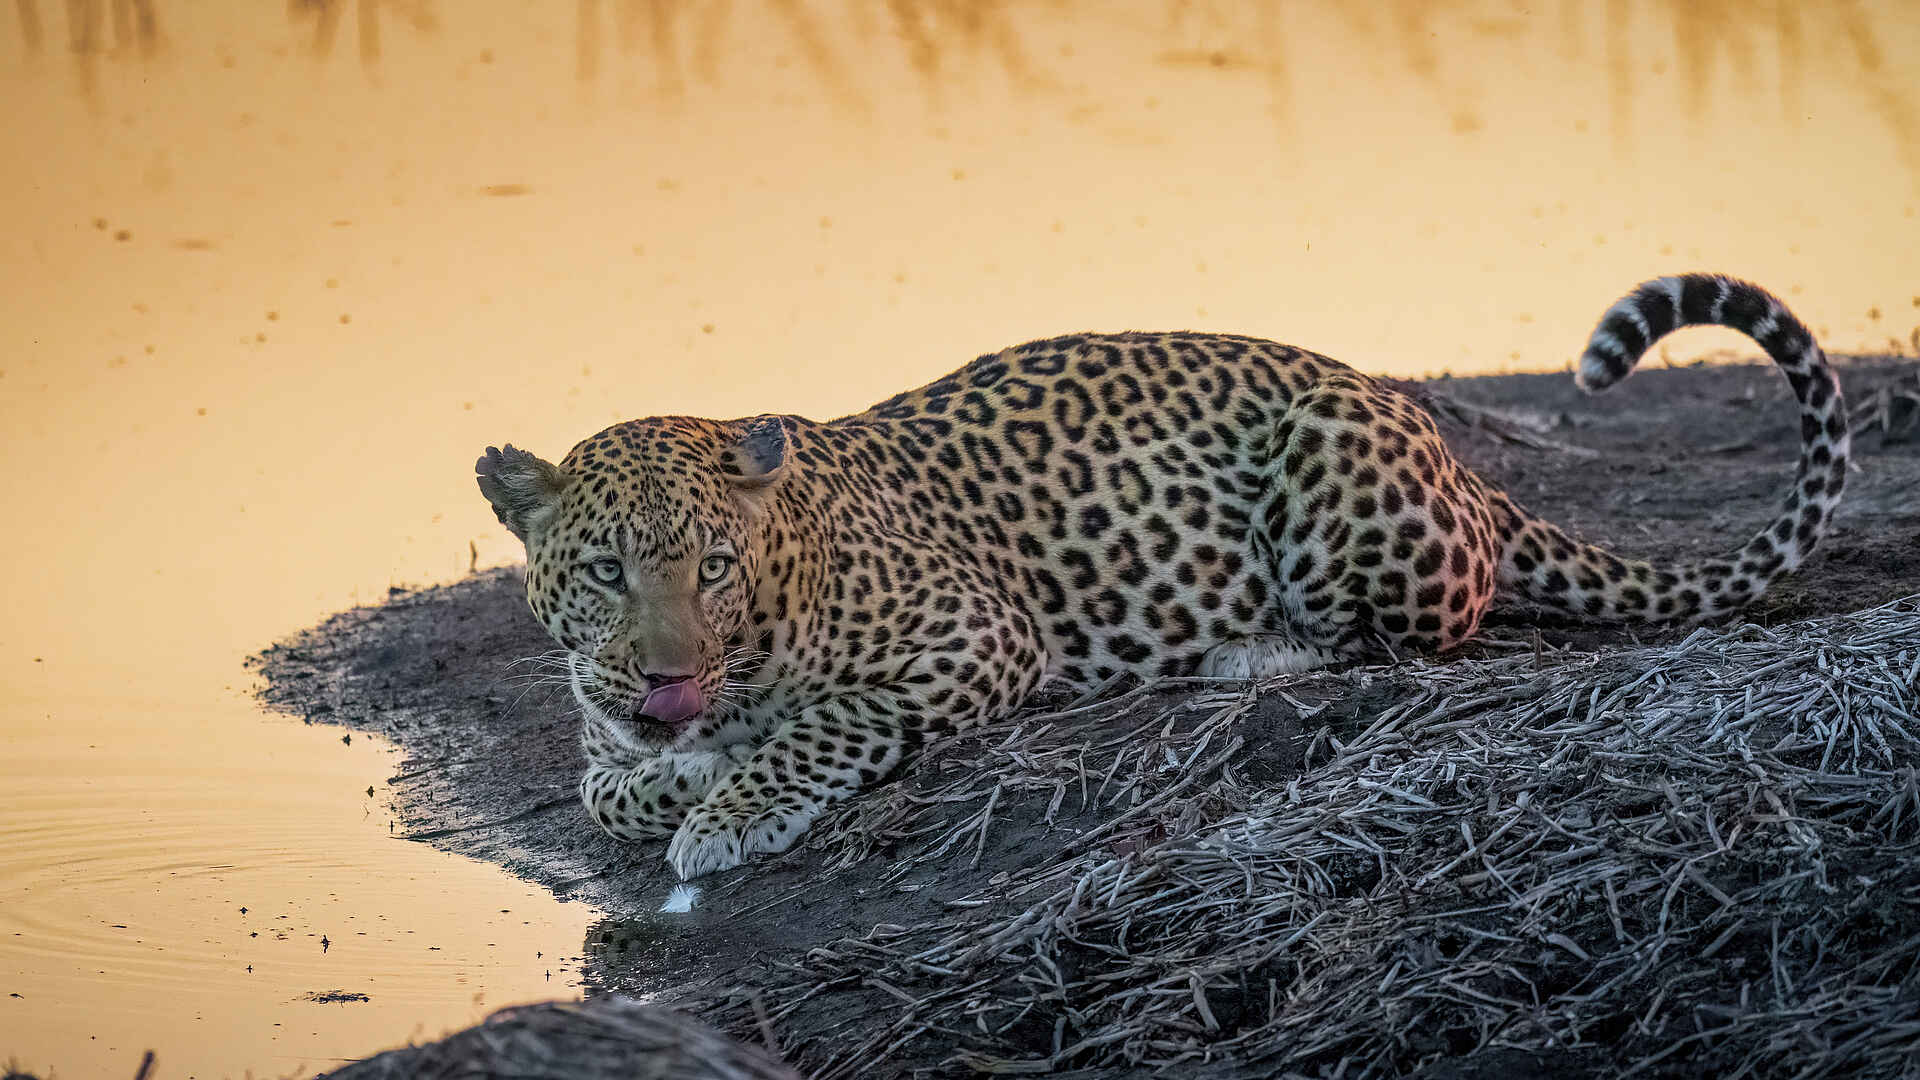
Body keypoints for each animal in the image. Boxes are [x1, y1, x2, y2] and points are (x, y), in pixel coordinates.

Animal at [476, 273, 1849, 880]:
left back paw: (1249, 651)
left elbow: (822, 726)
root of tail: (1464, 464)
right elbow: (611, 791)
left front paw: (728, 812)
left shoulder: (976, 636)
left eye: (712, 565)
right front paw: (688, 772)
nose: (672, 680)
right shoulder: (607, 734)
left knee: (1407, 633)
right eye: (604, 571)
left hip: (1334, 468)